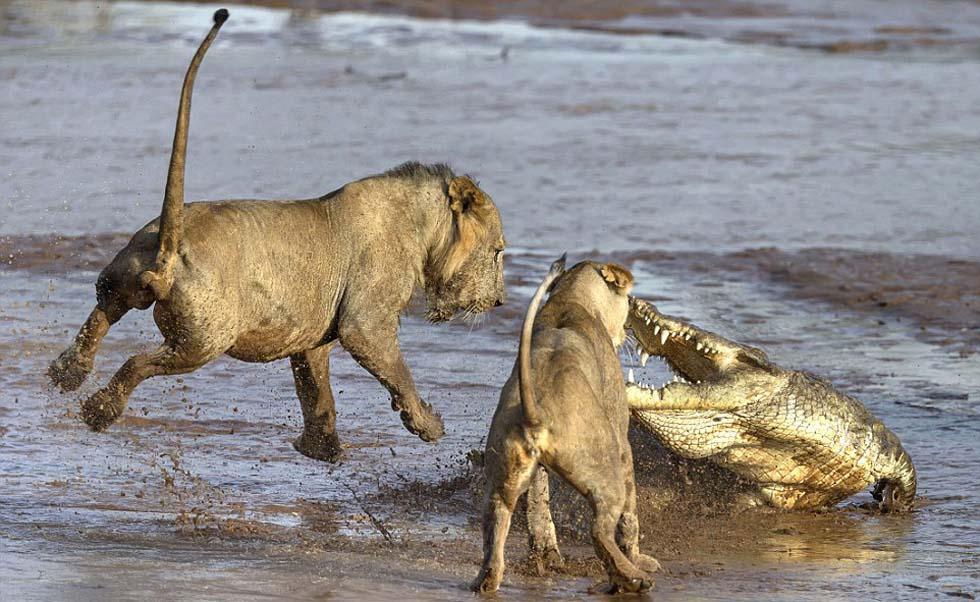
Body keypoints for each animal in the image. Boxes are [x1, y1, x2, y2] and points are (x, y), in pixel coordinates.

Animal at [46, 8, 506, 460]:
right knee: (138, 362)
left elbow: (316, 391)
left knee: (100, 315)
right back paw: (99, 410)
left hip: (121, 277)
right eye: (499, 252)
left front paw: (321, 449)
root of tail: (169, 249)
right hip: (204, 340)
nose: (501, 301)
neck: (420, 225)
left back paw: (66, 374)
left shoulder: (312, 333)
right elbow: (394, 370)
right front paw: (428, 425)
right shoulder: (366, 320)